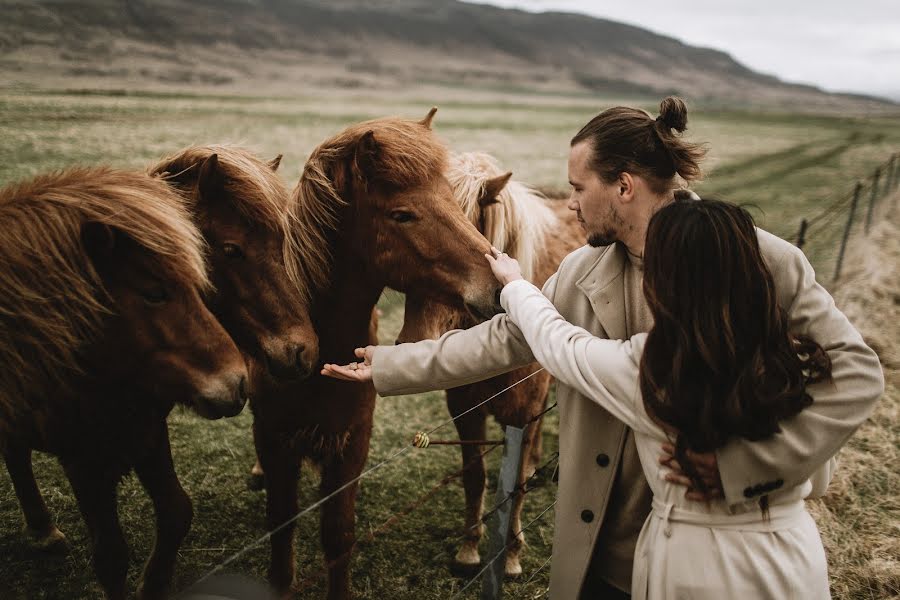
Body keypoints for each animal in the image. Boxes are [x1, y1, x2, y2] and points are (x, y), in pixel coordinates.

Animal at [0, 165, 248, 600]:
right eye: (153, 292)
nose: (237, 383)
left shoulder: (144, 431)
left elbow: (176, 511)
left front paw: (154, 585)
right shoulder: (83, 459)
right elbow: (111, 556)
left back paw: (43, 529)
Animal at [250, 109, 502, 600]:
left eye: (451, 199)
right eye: (402, 214)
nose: (497, 285)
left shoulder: (352, 442)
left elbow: (338, 535)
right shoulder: (274, 439)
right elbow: (281, 525)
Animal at [400, 150, 584, 576]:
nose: (413, 341)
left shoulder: (523, 412)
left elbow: (513, 485)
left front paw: (511, 555)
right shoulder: (465, 409)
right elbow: (475, 475)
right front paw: (469, 549)